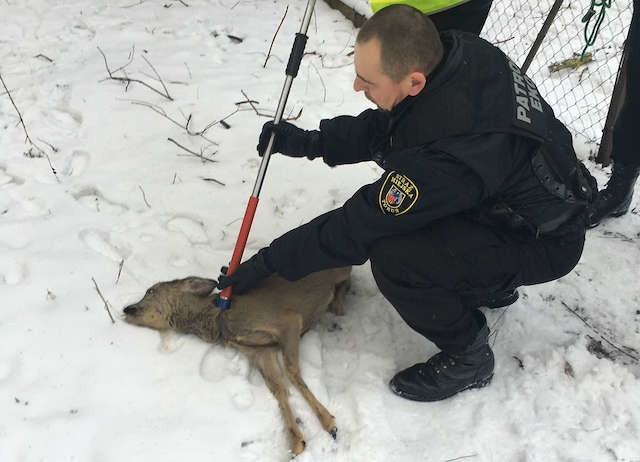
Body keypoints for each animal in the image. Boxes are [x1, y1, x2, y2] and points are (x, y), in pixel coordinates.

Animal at [120, 266, 350, 456]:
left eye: (151, 291)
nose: (126, 309)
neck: (219, 319)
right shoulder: (259, 351)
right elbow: (278, 388)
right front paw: (296, 441)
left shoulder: (288, 320)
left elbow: (292, 372)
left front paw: (329, 422)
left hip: (341, 272)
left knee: (346, 280)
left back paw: (338, 305)